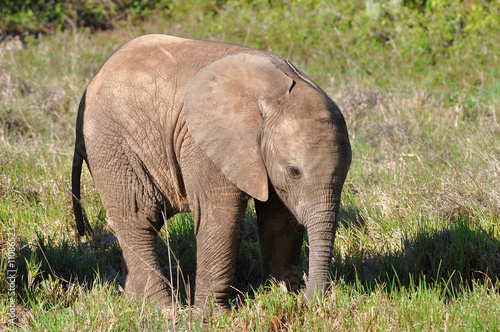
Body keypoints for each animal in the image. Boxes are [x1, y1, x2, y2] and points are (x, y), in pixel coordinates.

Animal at [72, 34, 352, 312]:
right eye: (294, 172)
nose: (311, 301)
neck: (270, 96)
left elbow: (279, 218)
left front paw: (282, 296)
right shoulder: (205, 145)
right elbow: (219, 217)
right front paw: (211, 317)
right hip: (112, 146)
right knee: (139, 218)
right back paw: (165, 311)